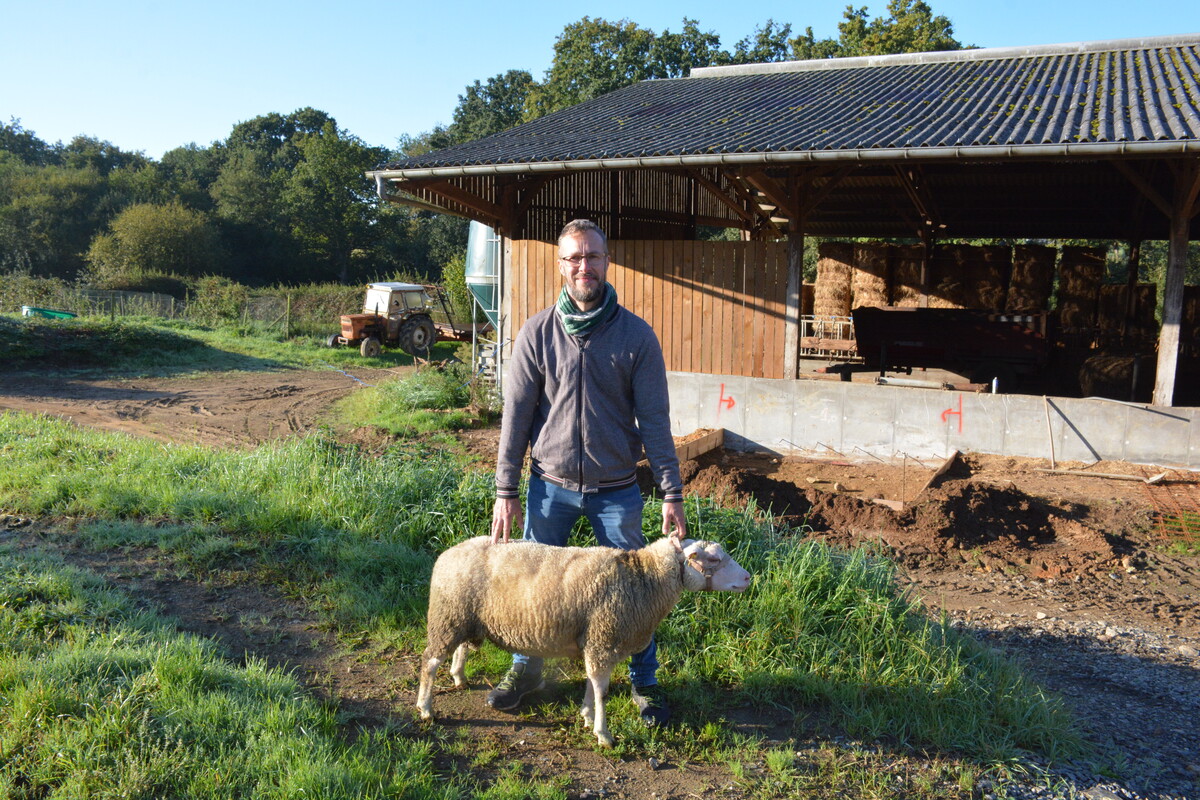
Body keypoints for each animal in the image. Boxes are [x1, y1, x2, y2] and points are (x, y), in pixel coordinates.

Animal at [412, 534, 748, 748]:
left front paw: (587, 716)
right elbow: (601, 689)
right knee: (430, 662)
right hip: (447, 615)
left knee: (461, 648)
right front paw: (603, 733)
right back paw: (426, 708)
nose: (747, 578)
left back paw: (458, 677)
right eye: (714, 558)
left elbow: (591, 683)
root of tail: (447, 554)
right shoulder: (604, 637)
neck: (644, 579)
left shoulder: (598, 640)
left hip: (467, 619)